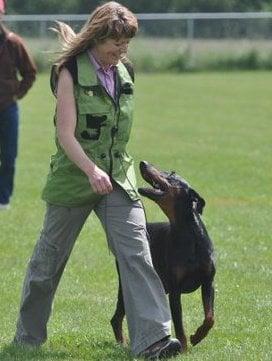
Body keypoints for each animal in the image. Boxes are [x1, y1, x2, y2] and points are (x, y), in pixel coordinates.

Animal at [110, 161, 215, 352]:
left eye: (172, 174)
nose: (143, 163)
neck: (189, 237)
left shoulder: (208, 282)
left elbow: (210, 317)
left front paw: (197, 336)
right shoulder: (175, 290)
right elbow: (179, 325)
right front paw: (184, 348)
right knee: (116, 317)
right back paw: (123, 344)